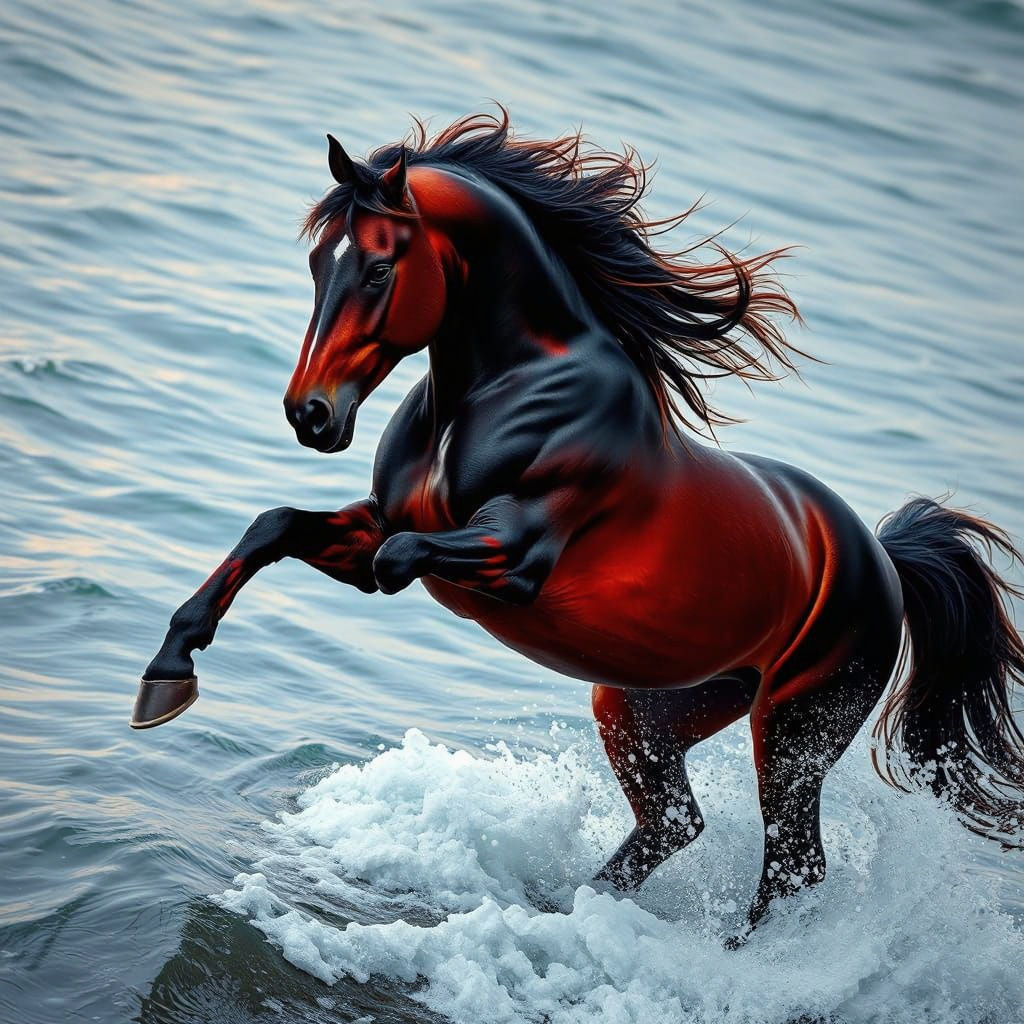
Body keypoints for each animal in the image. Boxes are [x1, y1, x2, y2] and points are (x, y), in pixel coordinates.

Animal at [133, 110, 1024, 939]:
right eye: (320, 262)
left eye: (380, 266)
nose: (310, 415)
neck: (509, 388)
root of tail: (882, 556)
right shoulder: (370, 526)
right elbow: (273, 526)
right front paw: (166, 677)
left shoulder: (514, 558)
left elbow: (399, 556)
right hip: (645, 704)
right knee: (675, 822)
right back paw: (581, 909)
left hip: (795, 728)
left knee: (793, 866)